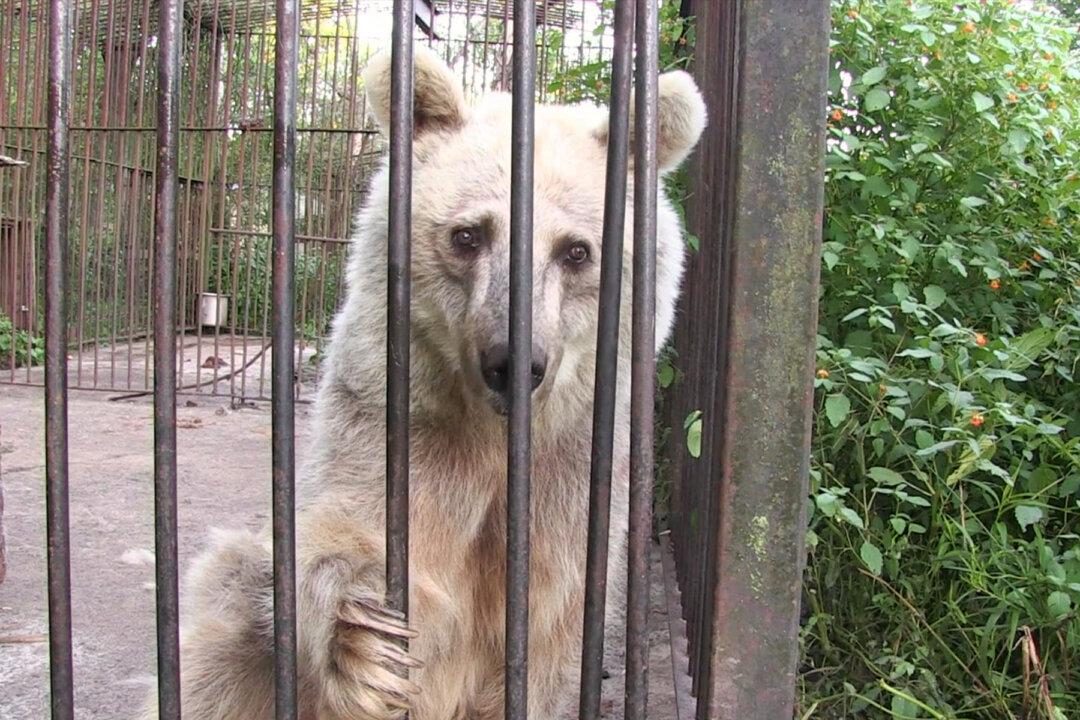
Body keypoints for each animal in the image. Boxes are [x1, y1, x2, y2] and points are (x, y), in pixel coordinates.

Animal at [150, 45, 705, 720]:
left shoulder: (575, 469)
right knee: (221, 634)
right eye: (469, 234)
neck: (493, 432)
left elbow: (550, 628)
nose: (512, 362)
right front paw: (366, 642)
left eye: (576, 250)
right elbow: (346, 533)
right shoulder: (399, 420)